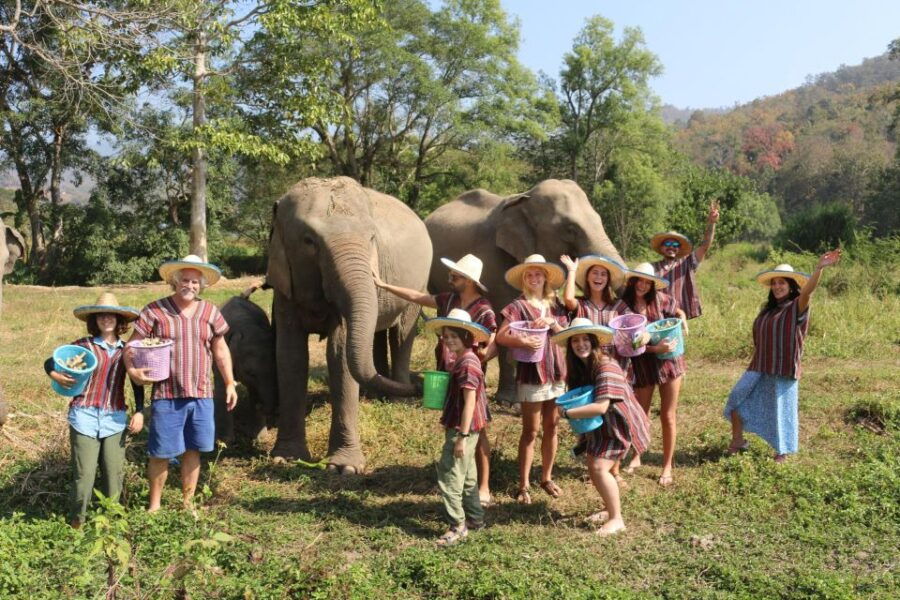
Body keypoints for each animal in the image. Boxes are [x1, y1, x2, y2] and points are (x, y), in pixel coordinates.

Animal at [264, 176, 432, 472]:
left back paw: (397, 398)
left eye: (372, 238)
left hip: (419, 283)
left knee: (402, 333)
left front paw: (344, 468)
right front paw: (286, 458)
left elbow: (339, 353)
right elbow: (290, 354)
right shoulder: (284, 284)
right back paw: (377, 391)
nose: (420, 387)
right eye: (309, 241)